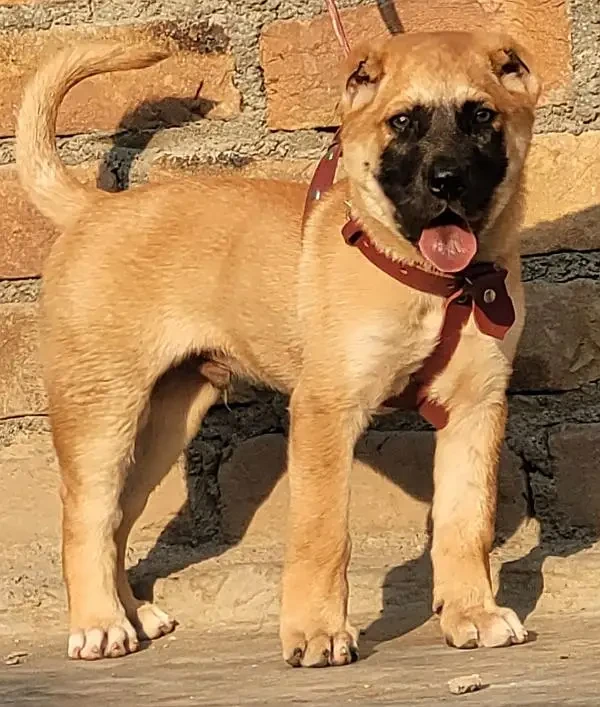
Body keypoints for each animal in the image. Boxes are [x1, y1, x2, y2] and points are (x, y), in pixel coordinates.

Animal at [15, 30, 540, 668]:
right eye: (402, 122)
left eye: (481, 117)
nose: (447, 183)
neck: (437, 282)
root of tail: (96, 206)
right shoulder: (326, 409)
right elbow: (322, 533)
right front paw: (316, 632)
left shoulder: (475, 410)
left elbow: (468, 525)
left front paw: (473, 614)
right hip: (102, 412)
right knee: (86, 517)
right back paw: (98, 624)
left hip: (164, 423)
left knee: (116, 518)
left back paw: (133, 613)